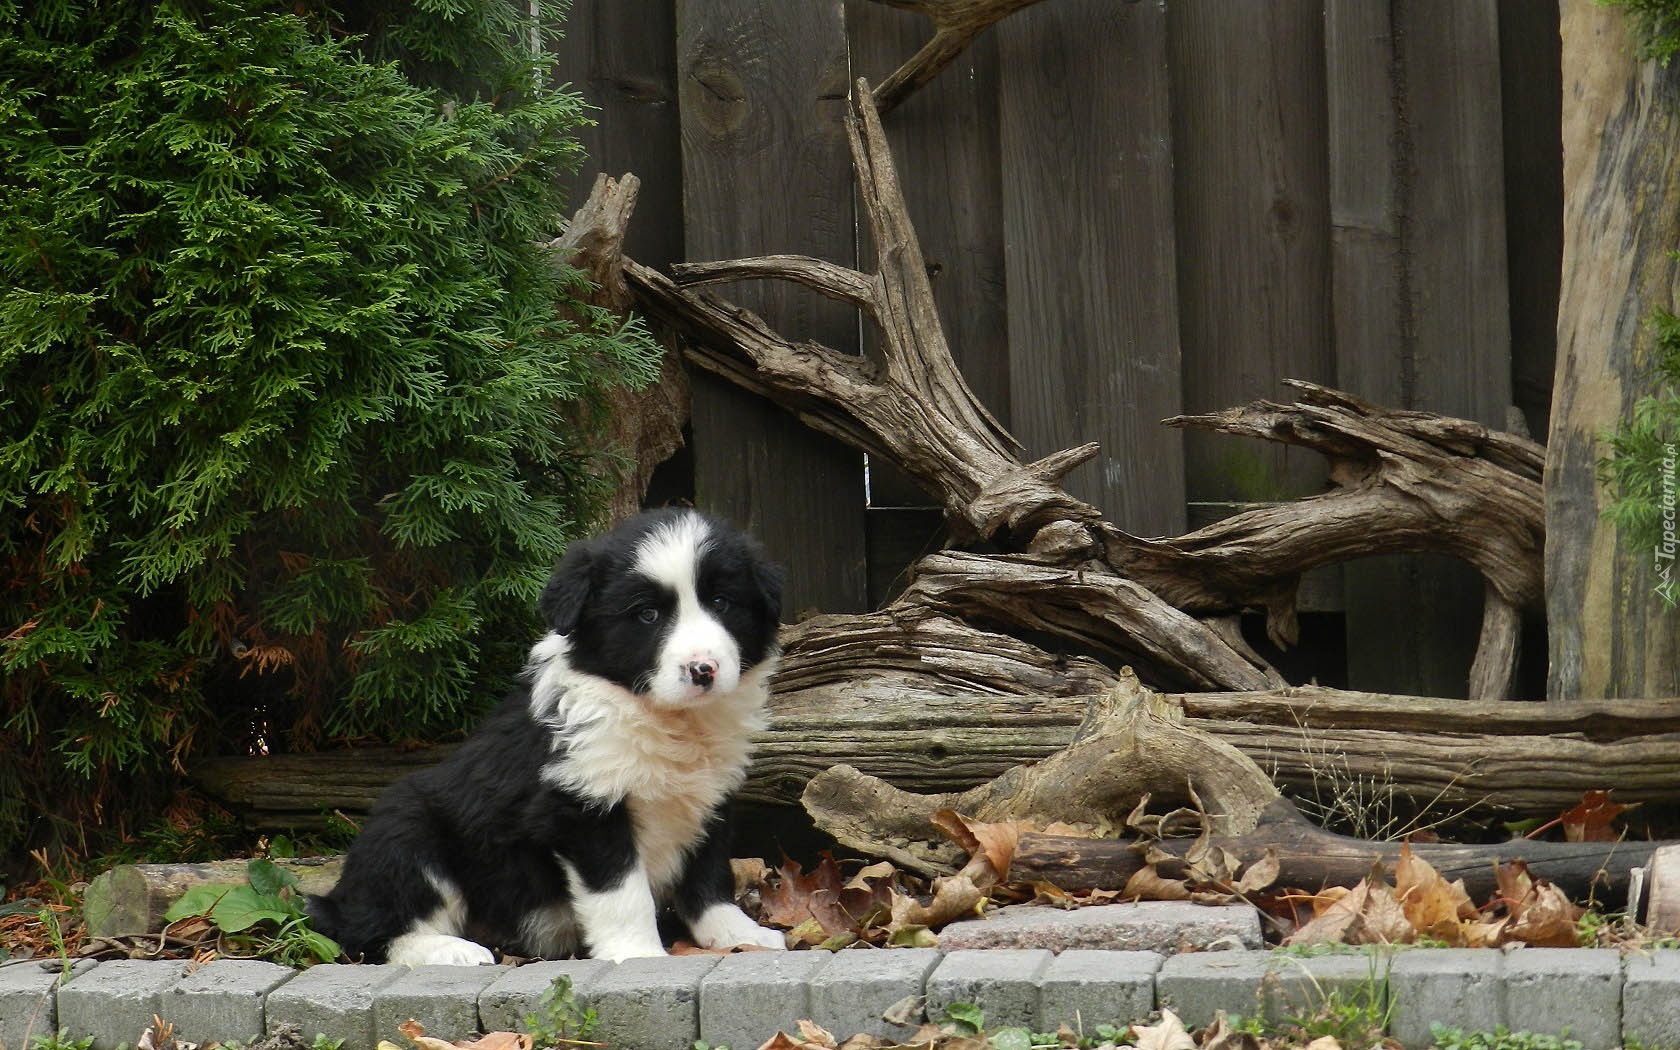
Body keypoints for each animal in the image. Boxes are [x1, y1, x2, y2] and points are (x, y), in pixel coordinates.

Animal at [307, 510, 786, 967]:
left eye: (722, 602)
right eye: (647, 615)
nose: (703, 669)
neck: (666, 718)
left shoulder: (709, 799)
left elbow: (709, 875)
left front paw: (739, 934)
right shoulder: (585, 804)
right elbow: (622, 891)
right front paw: (637, 953)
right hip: (406, 832)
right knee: (368, 934)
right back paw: (450, 950)